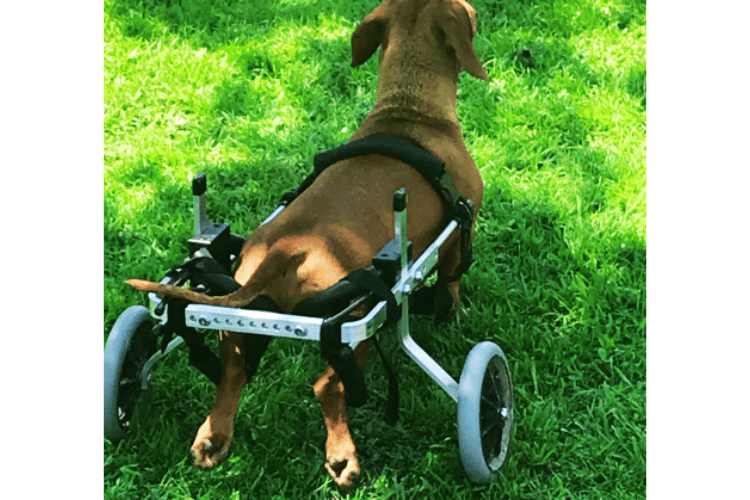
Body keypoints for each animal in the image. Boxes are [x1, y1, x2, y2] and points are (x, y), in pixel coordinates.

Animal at [129, 0, 490, 488]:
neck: (409, 111)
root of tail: (289, 247)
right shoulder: (457, 233)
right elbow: (452, 283)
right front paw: (452, 315)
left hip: (239, 319)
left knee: (233, 370)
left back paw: (213, 438)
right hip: (355, 323)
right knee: (327, 385)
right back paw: (342, 457)